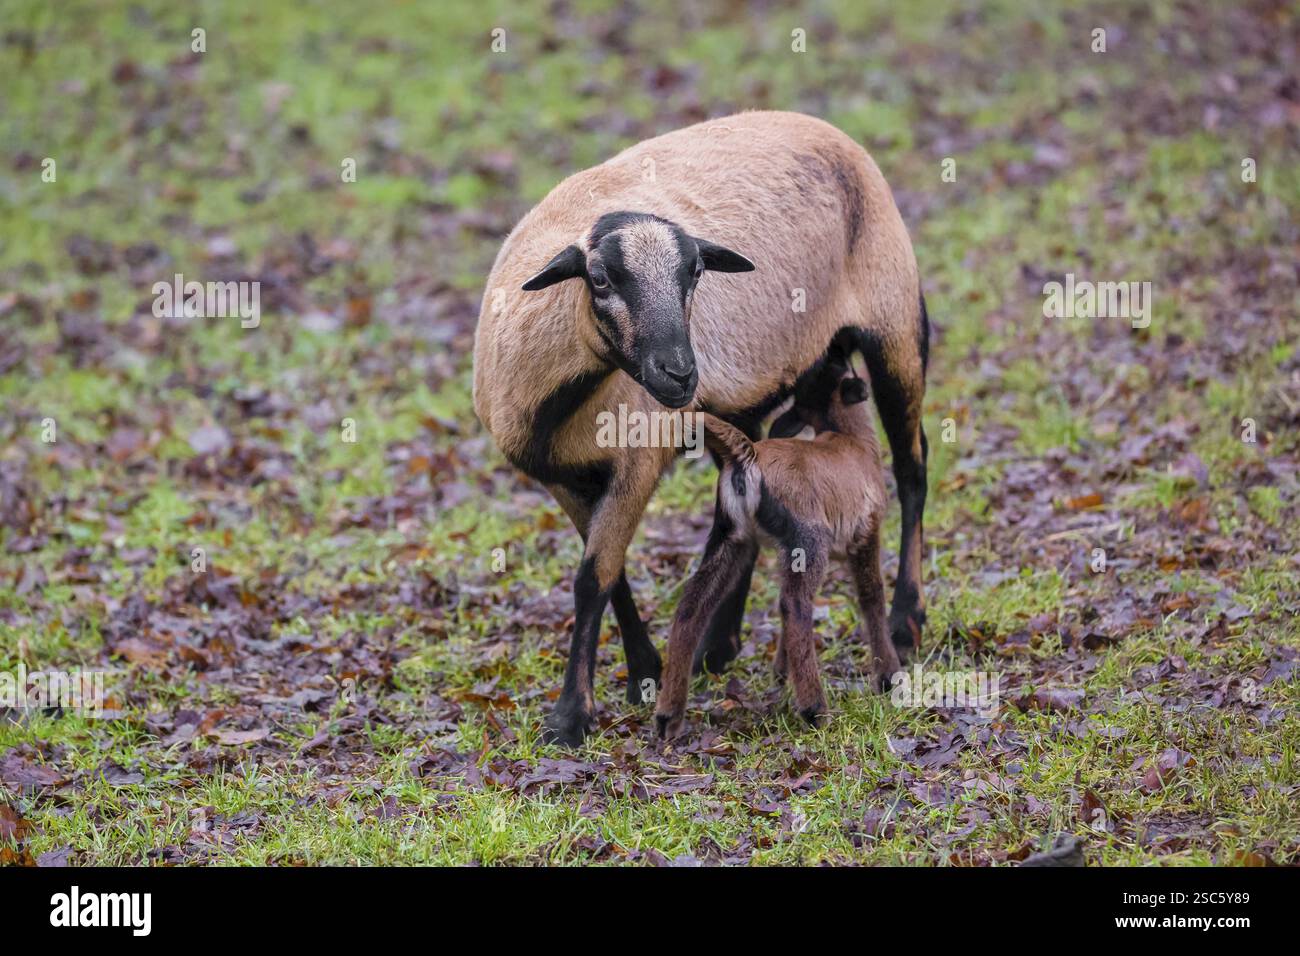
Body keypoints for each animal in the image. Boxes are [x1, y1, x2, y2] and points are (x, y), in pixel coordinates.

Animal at [654, 350, 902, 738]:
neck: (854, 443)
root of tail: (748, 457)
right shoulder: (865, 532)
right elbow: (871, 596)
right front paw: (888, 677)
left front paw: (781, 673)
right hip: (807, 539)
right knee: (795, 605)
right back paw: (815, 710)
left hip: (731, 537)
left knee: (693, 605)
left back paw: (668, 716)